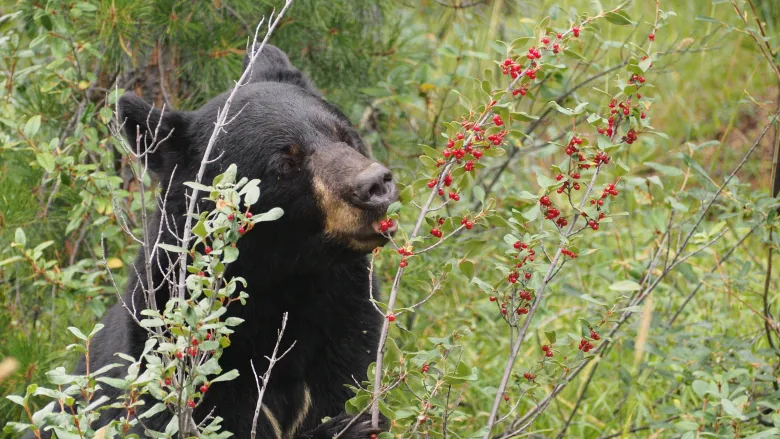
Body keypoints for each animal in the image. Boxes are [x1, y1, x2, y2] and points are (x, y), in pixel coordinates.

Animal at [28, 45, 400, 439]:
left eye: (344, 134)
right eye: (285, 162)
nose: (375, 185)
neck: (283, 282)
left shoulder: (346, 330)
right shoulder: (177, 364)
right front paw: (349, 426)